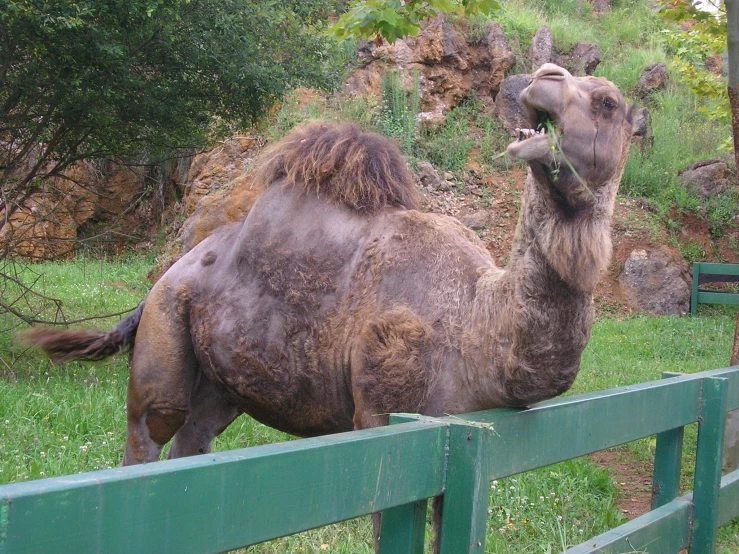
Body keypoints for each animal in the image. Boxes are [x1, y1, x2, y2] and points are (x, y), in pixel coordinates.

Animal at [24, 62, 636, 544]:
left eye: (609, 102)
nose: (544, 78)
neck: (479, 325)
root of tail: (165, 276)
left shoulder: (461, 441)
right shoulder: (384, 418)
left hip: (222, 382)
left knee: (194, 443)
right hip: (165, 321)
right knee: (149, 431)